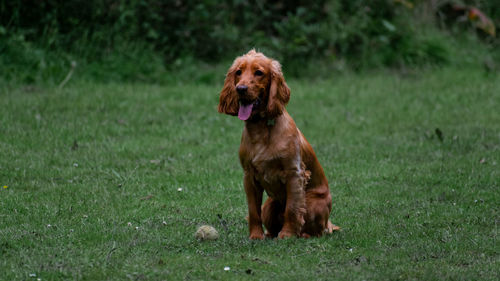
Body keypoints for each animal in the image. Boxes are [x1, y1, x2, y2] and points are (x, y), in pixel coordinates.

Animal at [218, 49, 338, 237]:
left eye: (259, 73)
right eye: (238, 72)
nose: (240, 89)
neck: (261, 128)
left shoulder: (294, 173)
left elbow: (292, 209)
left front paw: (287, 234)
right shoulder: (249, 176)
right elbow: (253, 210)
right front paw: (255, 236)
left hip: (313, 204)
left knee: (316, 230)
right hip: (269, 205)